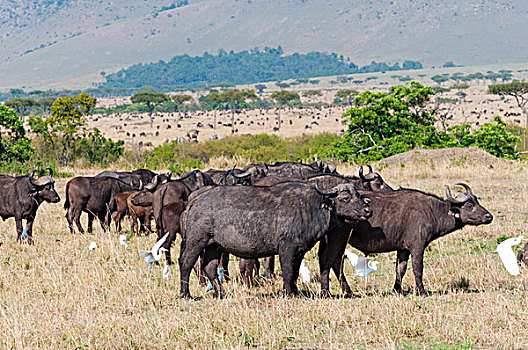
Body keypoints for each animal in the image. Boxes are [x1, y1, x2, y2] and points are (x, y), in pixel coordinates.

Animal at [177, 180, 372, 298]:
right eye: (345, 198)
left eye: (358, 195)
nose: (367, 210)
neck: (311, 207)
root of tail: (195, 200)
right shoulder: (286, 248)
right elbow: (287, 271)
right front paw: (288, 293)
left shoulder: (300, 251)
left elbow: (295, 272)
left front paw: (295, 291)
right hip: (196, 241)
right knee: (186, 262)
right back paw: (185, 294)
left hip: (214, 245)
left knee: (209, 267)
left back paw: (220, 293)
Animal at [320, 183, 492, 296]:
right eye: (469, 205)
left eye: (477, 201)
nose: (489, 216)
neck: (432, 211)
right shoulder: (417, 247)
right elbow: (418, 269)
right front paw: (422, 291)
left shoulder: (403, 249)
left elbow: (400, 269)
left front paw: (397, 290)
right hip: (339, 239)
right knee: (332, 262)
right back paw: (331, 292)